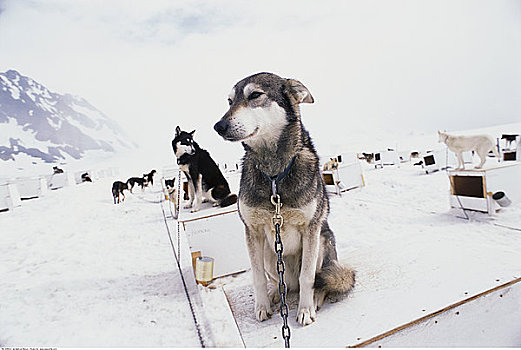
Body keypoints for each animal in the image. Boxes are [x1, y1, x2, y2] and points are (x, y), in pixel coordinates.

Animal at [213, 72, 356, 326]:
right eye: (230, 101)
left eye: (255, 95)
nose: (219, 126)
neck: (273, 177)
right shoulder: (252, 230)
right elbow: (257, 277)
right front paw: (262, 305)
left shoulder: (311, 229)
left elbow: (308, 277)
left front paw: (305, 310)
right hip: (270, 256)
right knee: (282, 283)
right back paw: (274, 293)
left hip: (322, 243)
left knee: (317, 279)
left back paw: (315, 296)